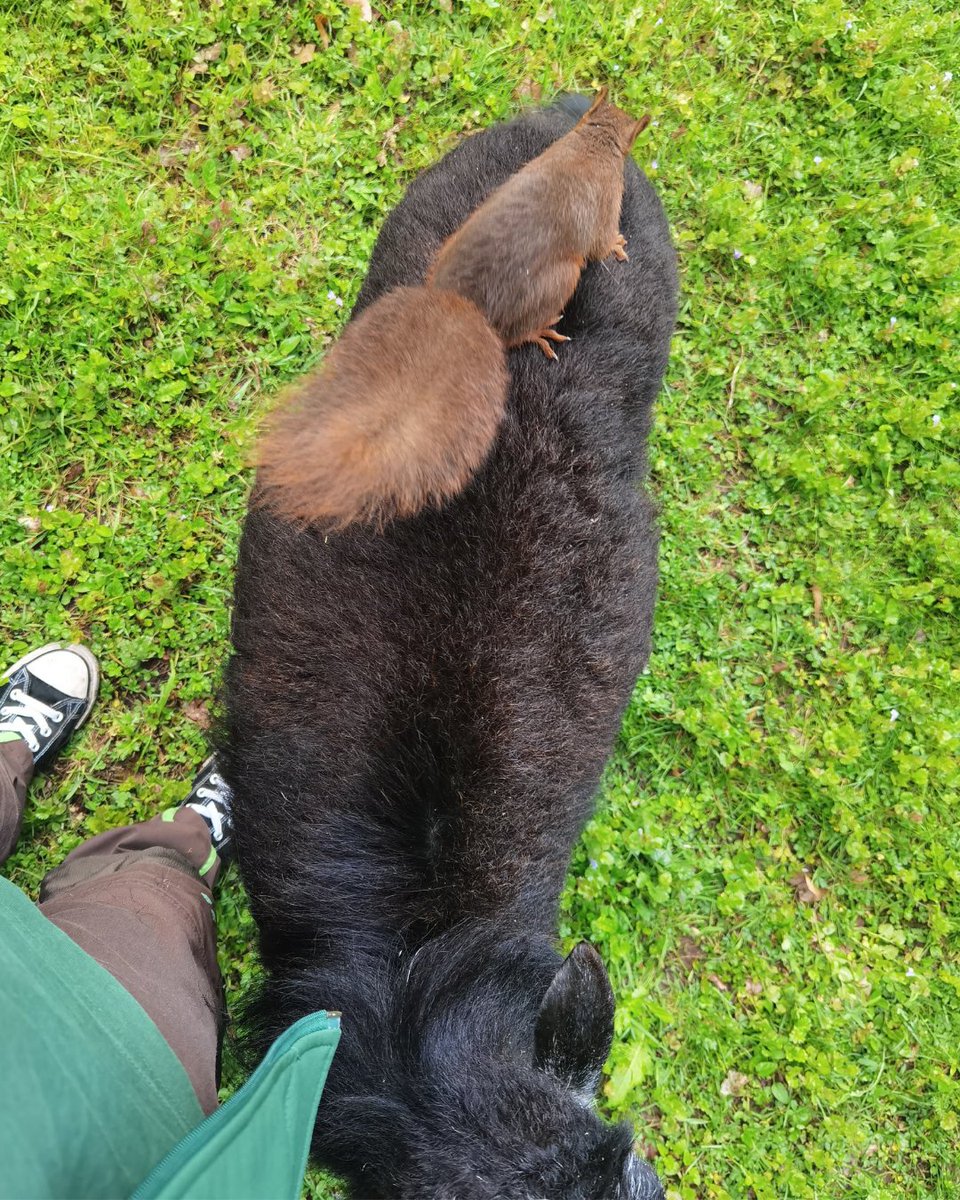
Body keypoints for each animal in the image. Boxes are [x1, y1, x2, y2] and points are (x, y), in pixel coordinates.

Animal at [255, 90, 650, 529]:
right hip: (560, 279)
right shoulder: (606, 203)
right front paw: (618, 245)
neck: (591, 144)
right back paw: (540, 332)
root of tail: (466, 302)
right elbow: (601, 243)